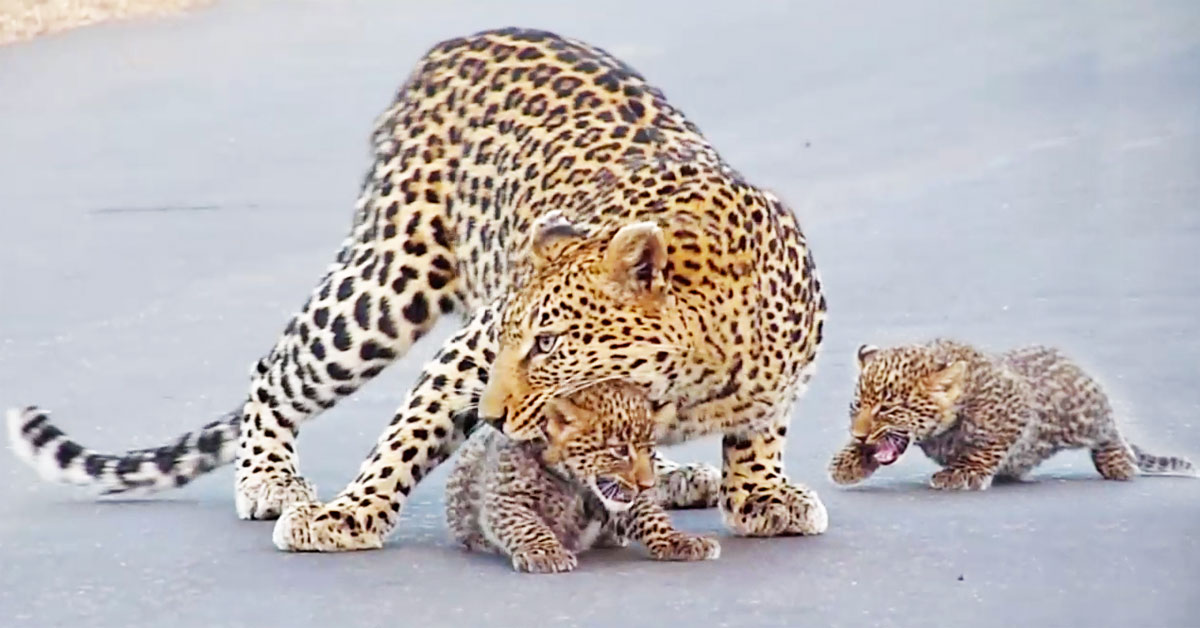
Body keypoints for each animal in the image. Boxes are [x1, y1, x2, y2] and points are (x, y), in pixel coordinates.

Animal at [7, 27, 825, 552]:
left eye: (550, 344)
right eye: (516, 341)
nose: (492, 416)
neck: (697, 373)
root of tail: (462, 40)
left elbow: (760, 434)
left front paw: (762, 496)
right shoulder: (467, 355)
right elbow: (403, 440)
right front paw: (344, 519)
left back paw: (681, 475)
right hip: (387, 280)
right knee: (276, 367)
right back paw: (270, 480)